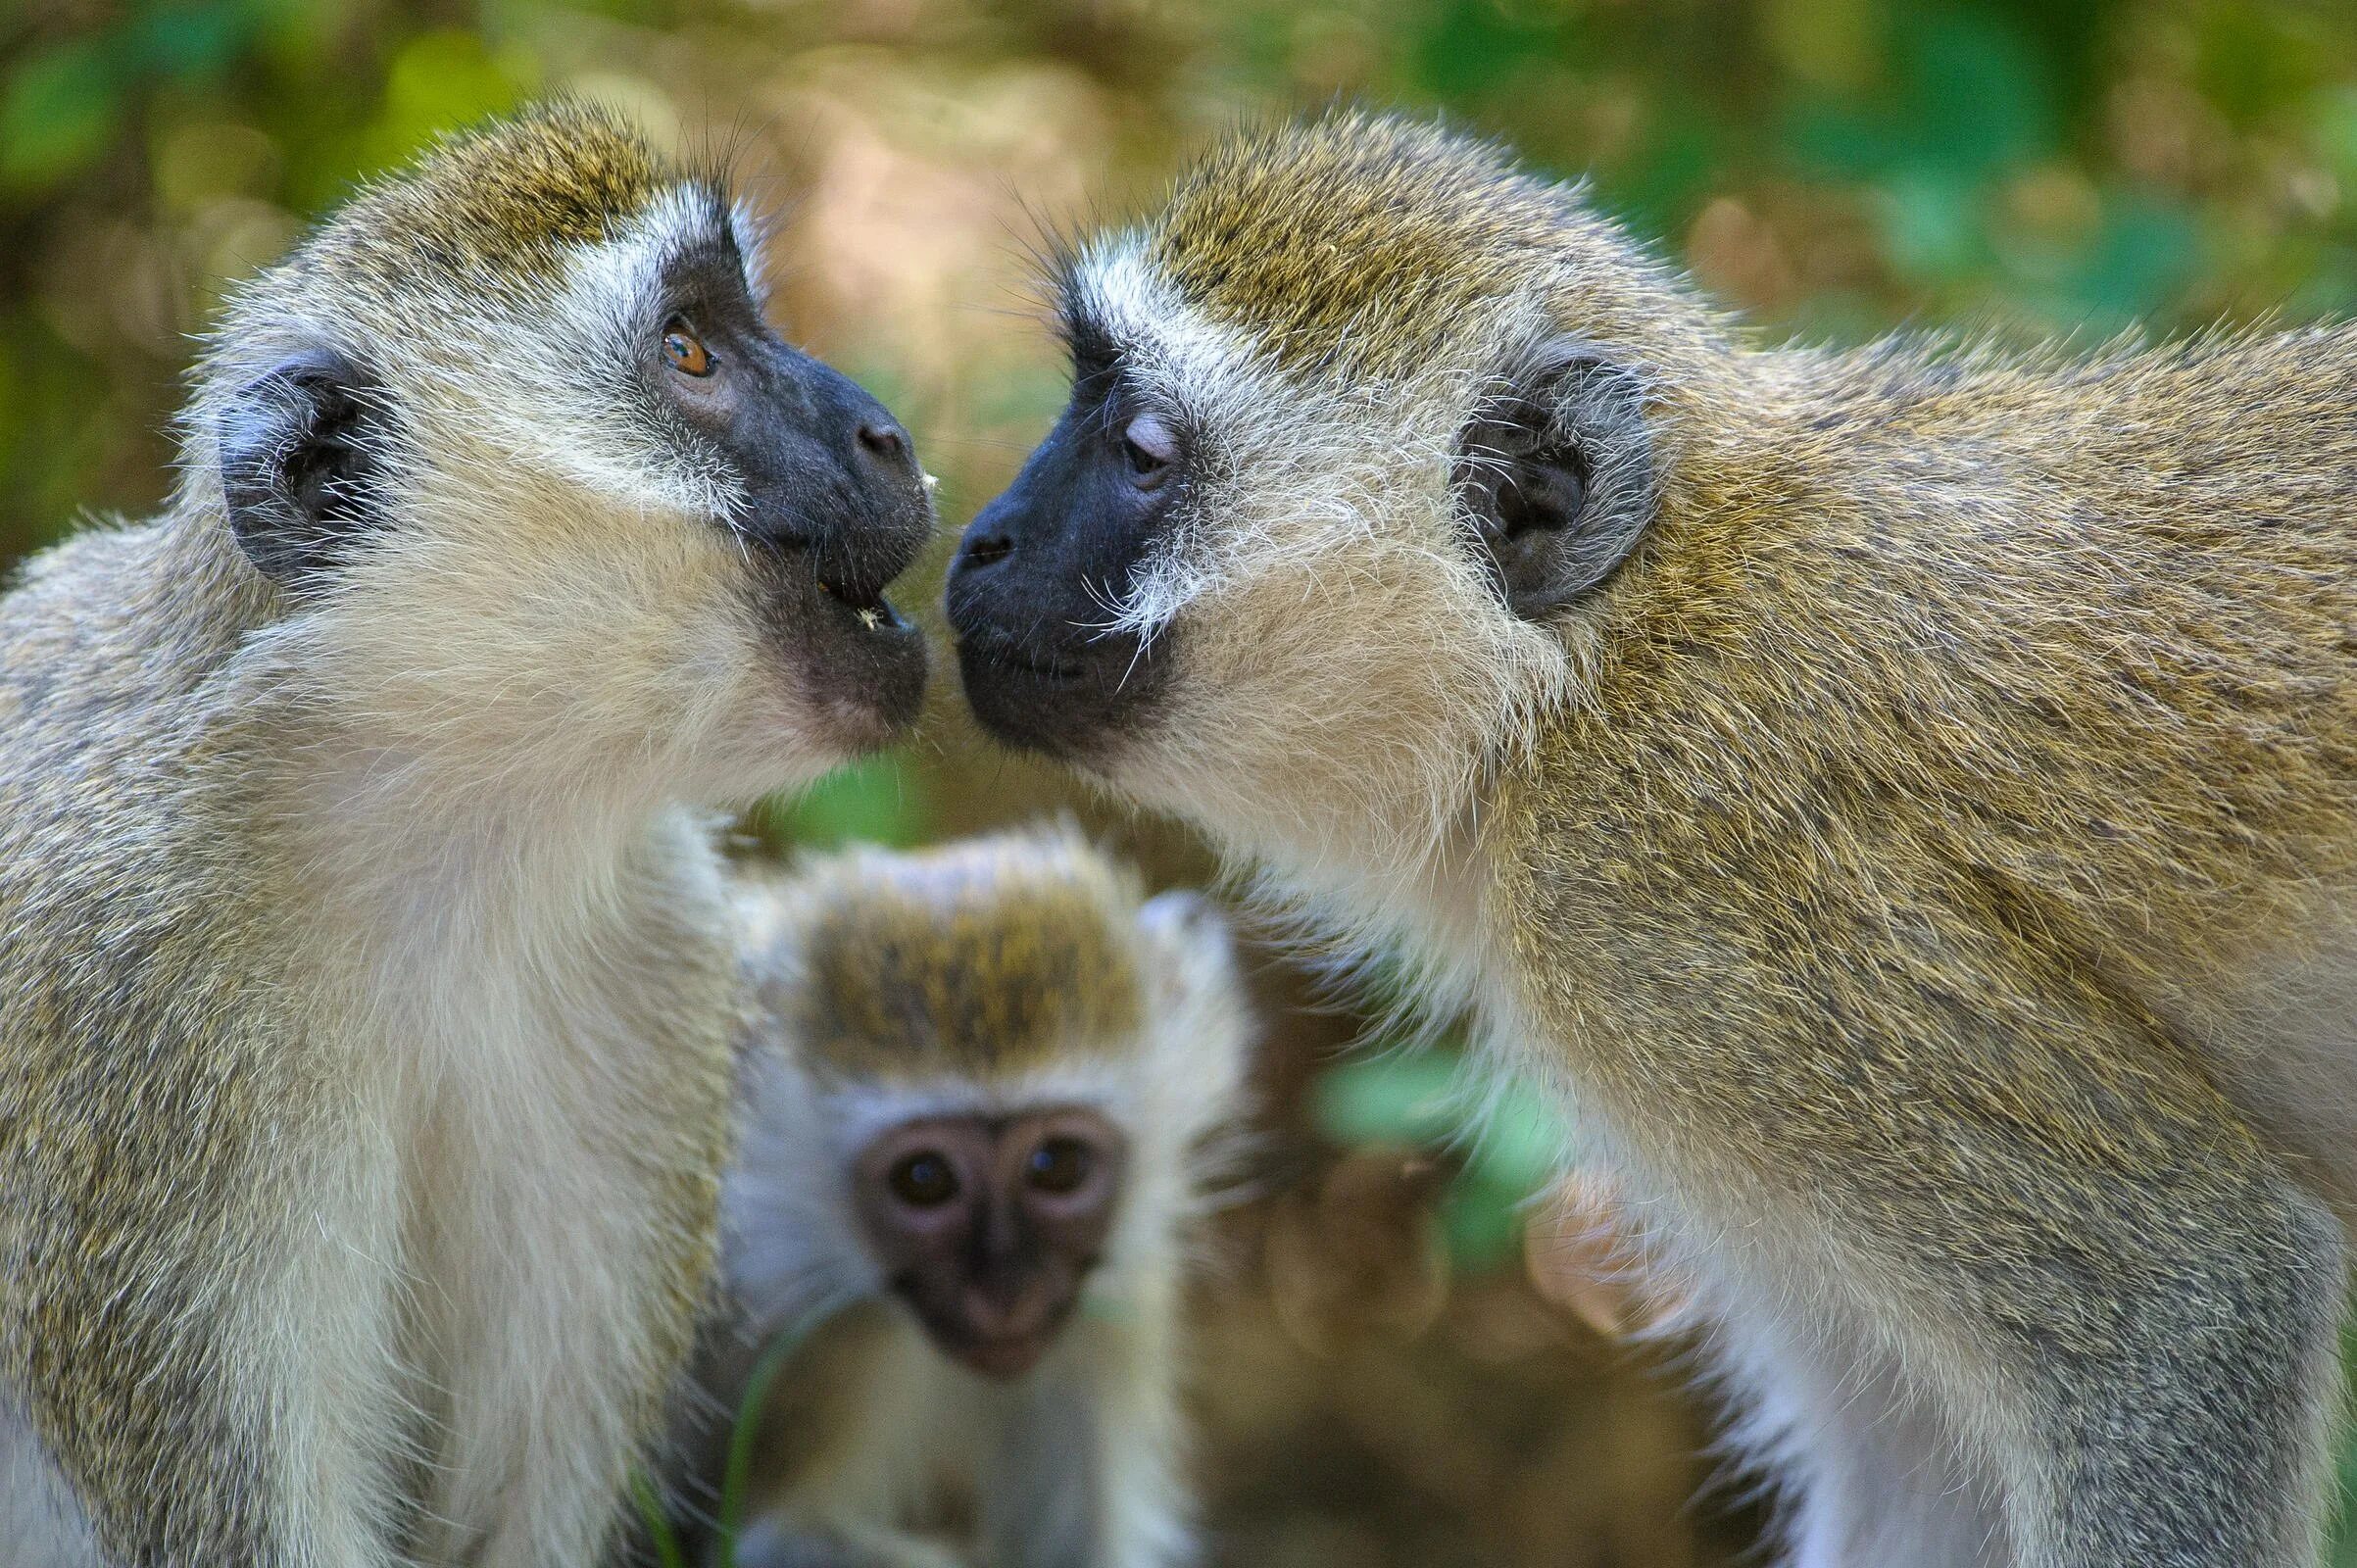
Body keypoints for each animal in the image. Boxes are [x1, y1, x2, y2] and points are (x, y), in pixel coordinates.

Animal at [655, 829, 1263, 1565]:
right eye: (924, 1179)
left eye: (1057, 1166)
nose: (1005, 1291)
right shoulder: (812, 1339)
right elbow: (775, 1540)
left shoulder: (1112, 1302)